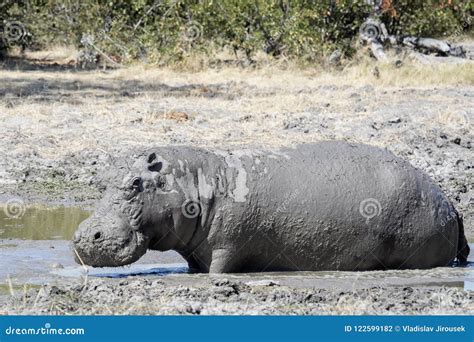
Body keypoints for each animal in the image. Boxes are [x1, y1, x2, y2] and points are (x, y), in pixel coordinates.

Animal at [73, 142, 470, 272]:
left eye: (135, 183)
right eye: (106, 177)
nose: (82, 237)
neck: (197, 182)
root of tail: (451, 204)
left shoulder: (226, 250)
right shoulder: (196, 256)